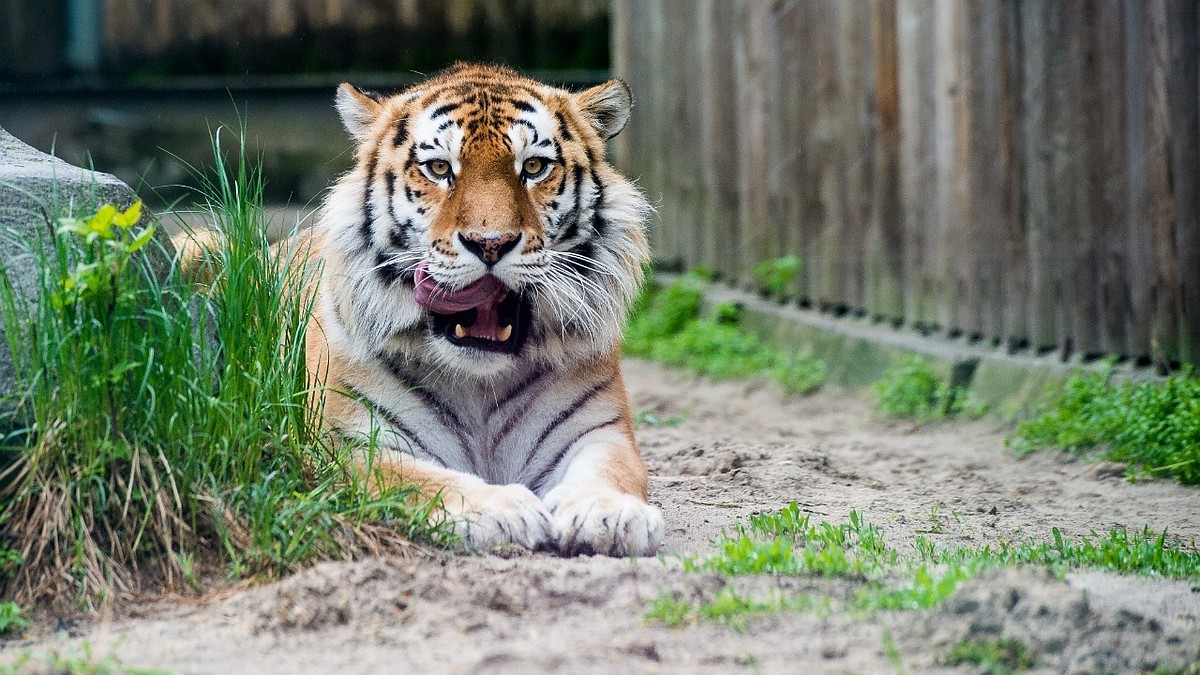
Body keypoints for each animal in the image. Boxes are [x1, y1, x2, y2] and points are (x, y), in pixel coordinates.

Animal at [195, 63, 667, 554]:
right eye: (439, 168)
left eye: (534, 167)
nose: (490, 243)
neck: (480, 384)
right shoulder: (341, 443)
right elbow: (418, 479)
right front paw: (501, 509)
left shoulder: (600, 431)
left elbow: (610, 472)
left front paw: (609, 514)